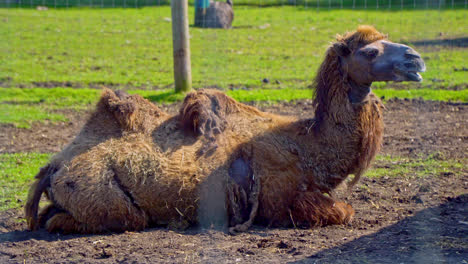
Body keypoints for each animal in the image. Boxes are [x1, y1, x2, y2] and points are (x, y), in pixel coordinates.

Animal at [26, 26, 428, 233]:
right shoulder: (282, 198)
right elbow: (343, 211)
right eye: (370, 51)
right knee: (109, 218)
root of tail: (55, 165)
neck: (306, 145)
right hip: (104, 194)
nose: (416, 59)